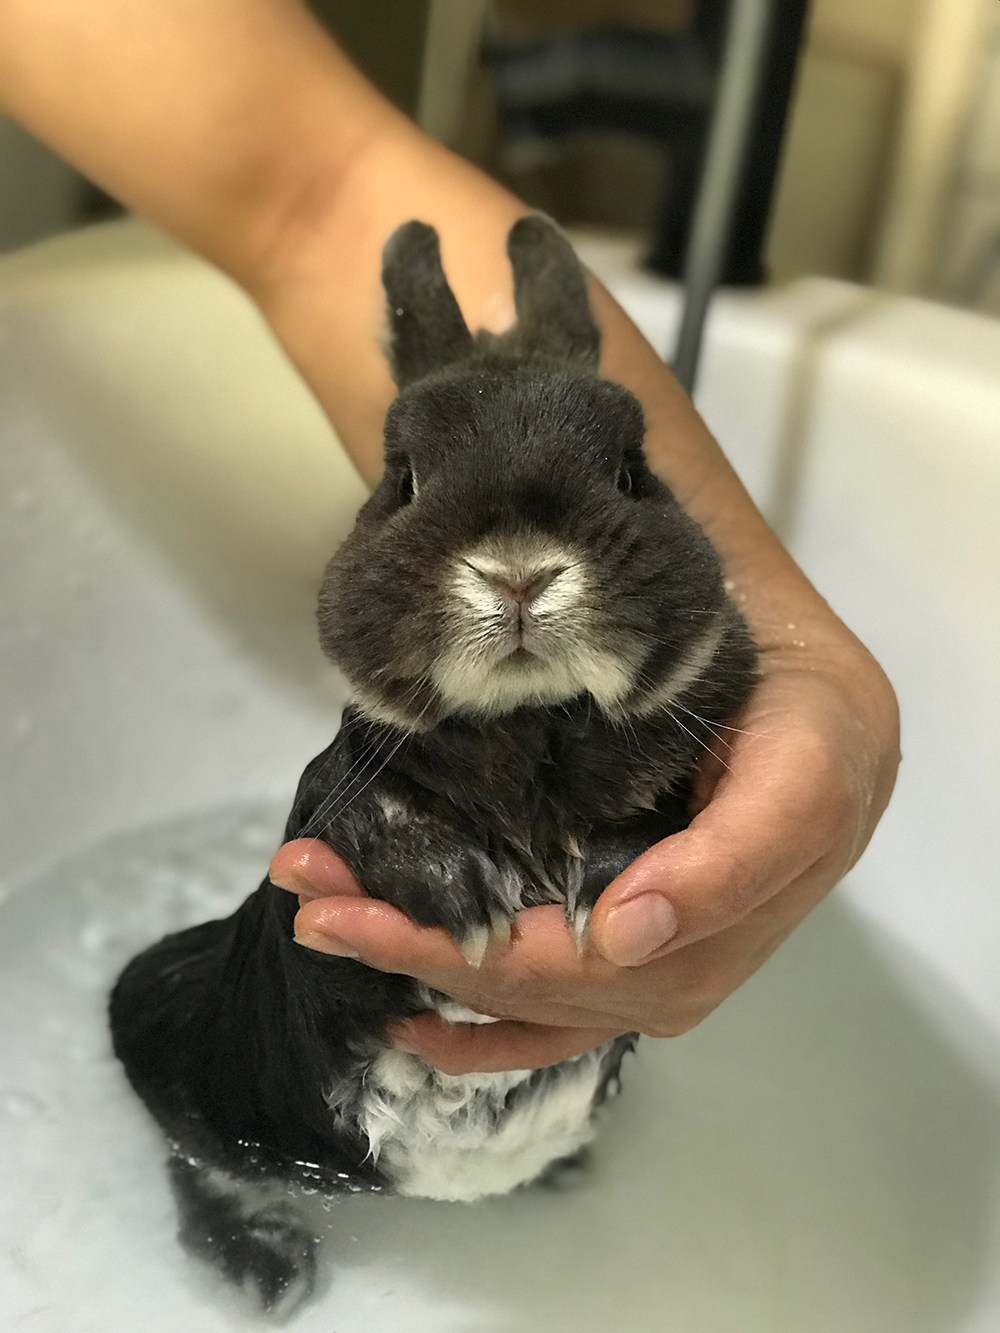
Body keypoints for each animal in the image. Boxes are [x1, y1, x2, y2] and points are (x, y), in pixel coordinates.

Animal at [109, 214, 758, 1318]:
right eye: (401, 476)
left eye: (633, 468)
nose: (520, 573)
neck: (532, 737)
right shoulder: (328, 869)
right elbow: (370, 819)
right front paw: (461, 898)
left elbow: (641, 821)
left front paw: (607, 882)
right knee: (200, 1172)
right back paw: (271, 1271)